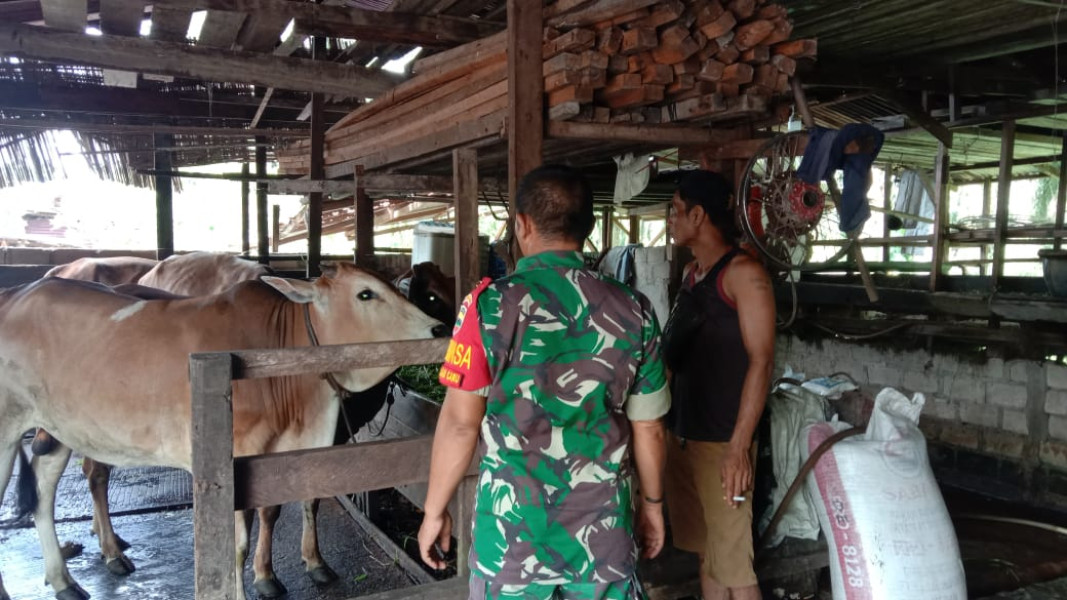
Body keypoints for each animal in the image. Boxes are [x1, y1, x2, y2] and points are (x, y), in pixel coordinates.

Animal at [0, 263, 446, 597]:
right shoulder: (230, 462)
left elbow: (286, 507)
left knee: (42, 493)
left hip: (60, 429)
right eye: (365, 294)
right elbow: (236, 544)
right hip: (9, 429)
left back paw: (65, 580)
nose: (439, 329)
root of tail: (17, 292)